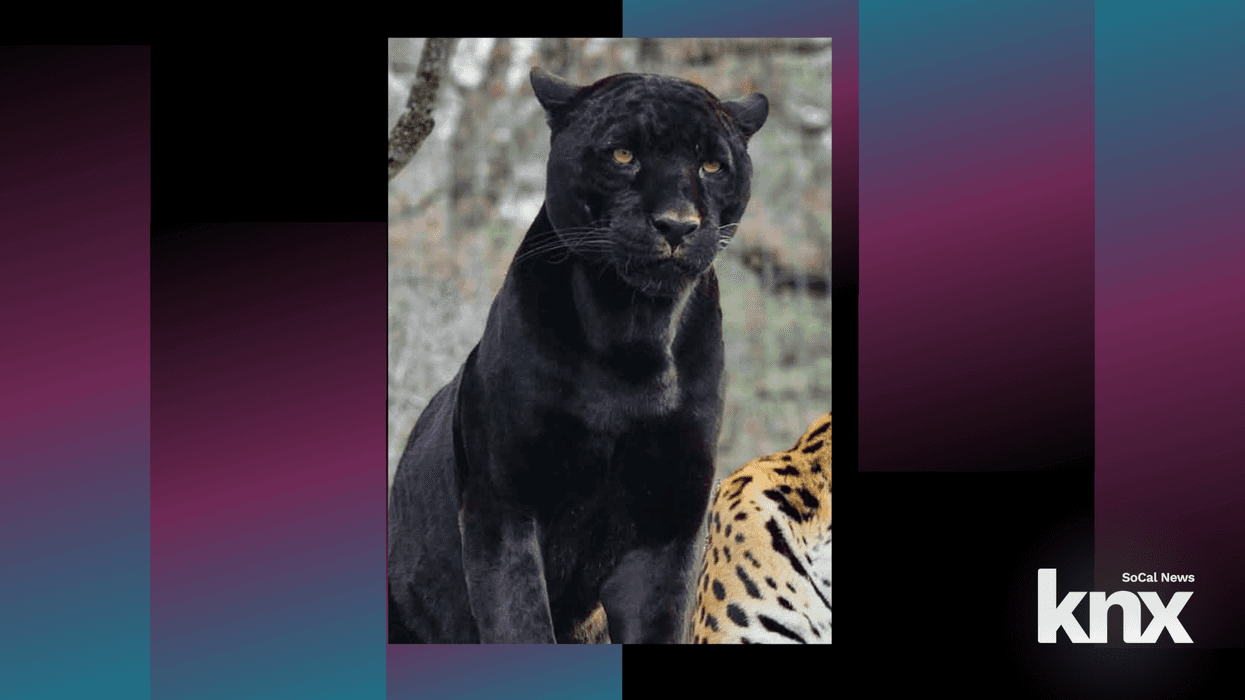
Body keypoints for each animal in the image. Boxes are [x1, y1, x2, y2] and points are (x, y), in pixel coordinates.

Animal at [388, 67, 768, 643]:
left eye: (711, 165)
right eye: (623, 155)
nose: (677, 224)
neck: (633, 337)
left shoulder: (667, 525)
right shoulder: (504, 503)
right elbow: (521, 623)